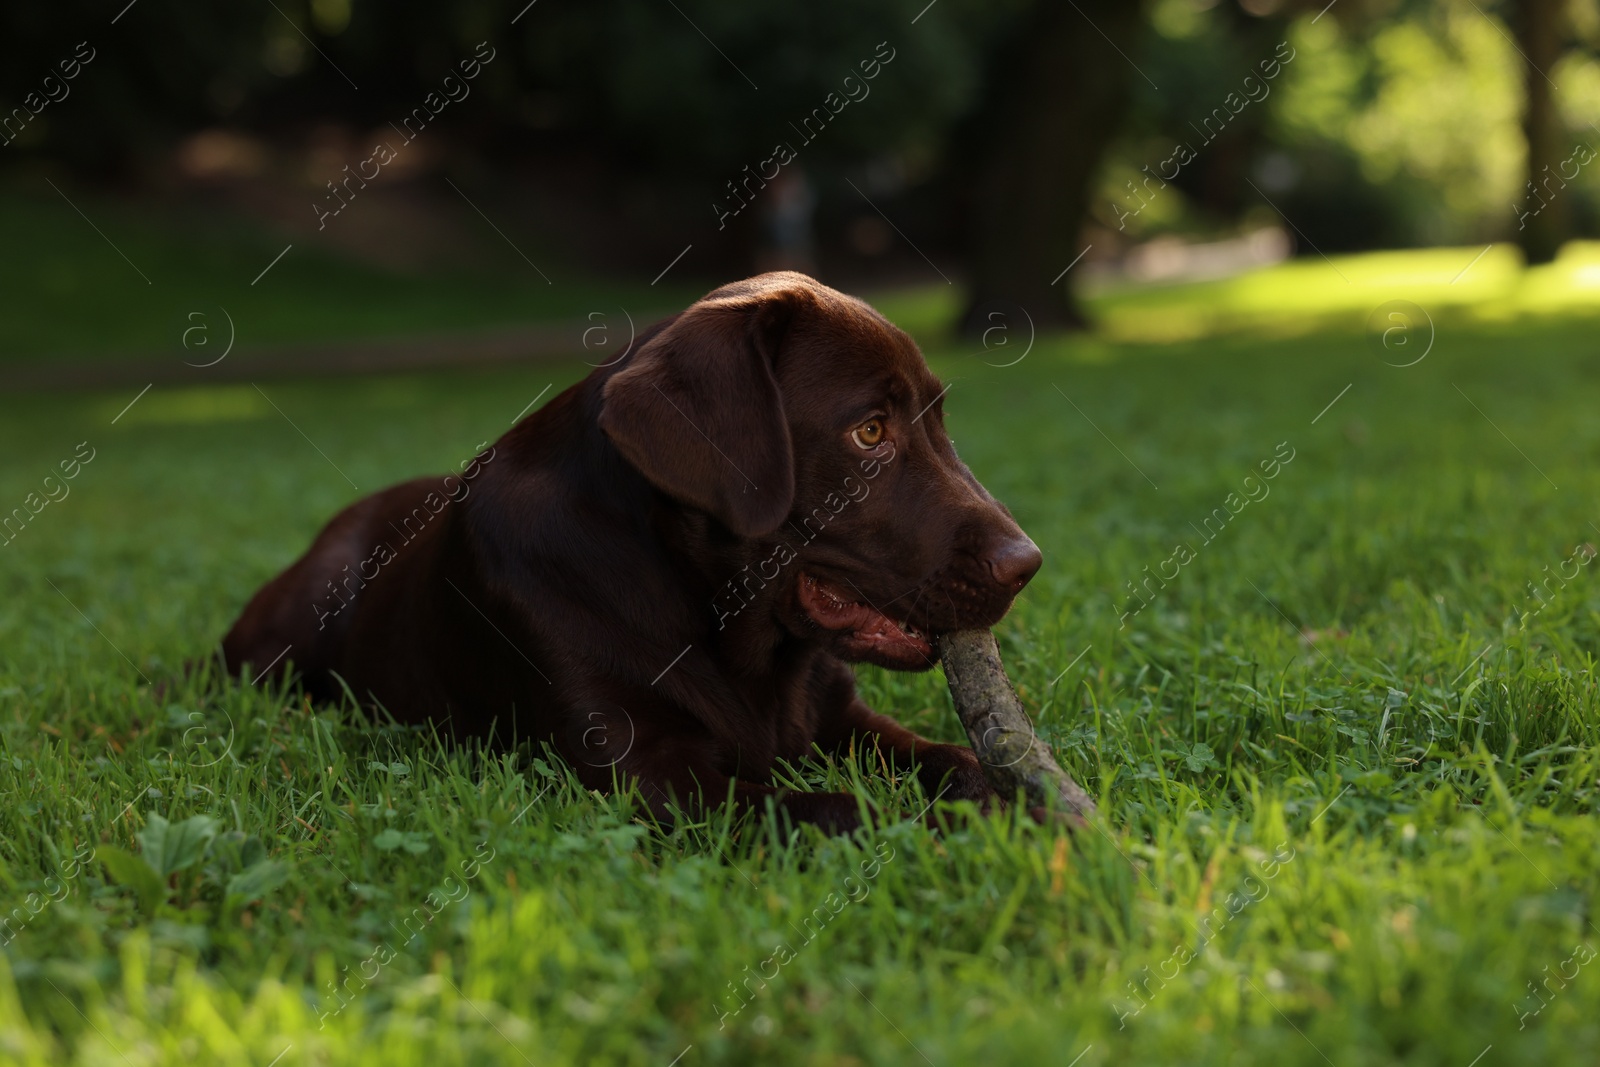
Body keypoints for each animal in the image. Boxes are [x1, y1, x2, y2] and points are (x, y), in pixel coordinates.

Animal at [222, 268, 1036, 831]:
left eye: (940, 423)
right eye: (870, 431)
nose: (1027, 563)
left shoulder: (840, 716)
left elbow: (958, 761)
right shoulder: (647, 774)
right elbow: (839, 808)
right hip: (282, 633)